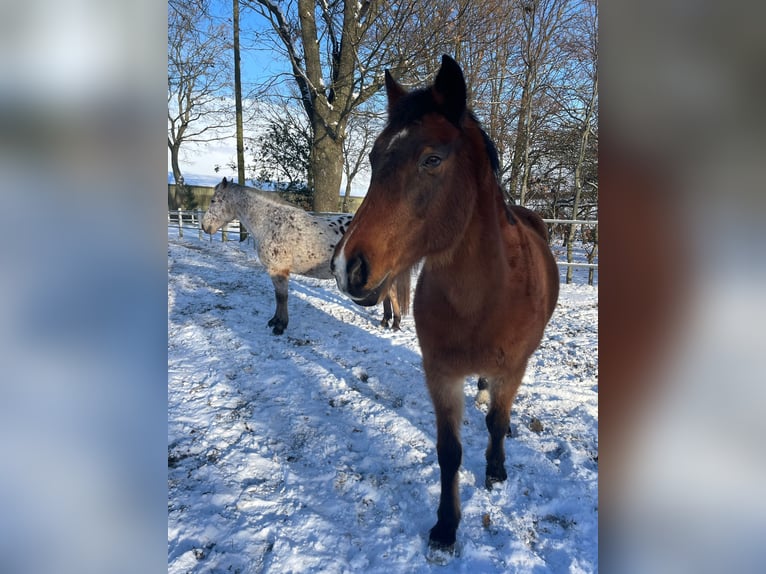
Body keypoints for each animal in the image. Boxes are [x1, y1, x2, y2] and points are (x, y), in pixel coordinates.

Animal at [201, 178, 410, 335]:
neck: (271, 222)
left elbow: (282, 298)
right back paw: (386, 321)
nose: (204, 226)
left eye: (213, 201)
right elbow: (278, 297)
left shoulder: (279, 271)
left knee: (391, 294)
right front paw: (275, 321)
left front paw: (280, 326)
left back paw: (395, 324)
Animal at [331, 55, 559, 552]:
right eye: (374, 157)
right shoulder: (440, 374)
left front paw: (496, 469)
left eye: (431, 159)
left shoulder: (513, 366)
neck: (484, 298)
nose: (346, 267)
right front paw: (446, 525)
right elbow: (449, 452)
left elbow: (495, 422)